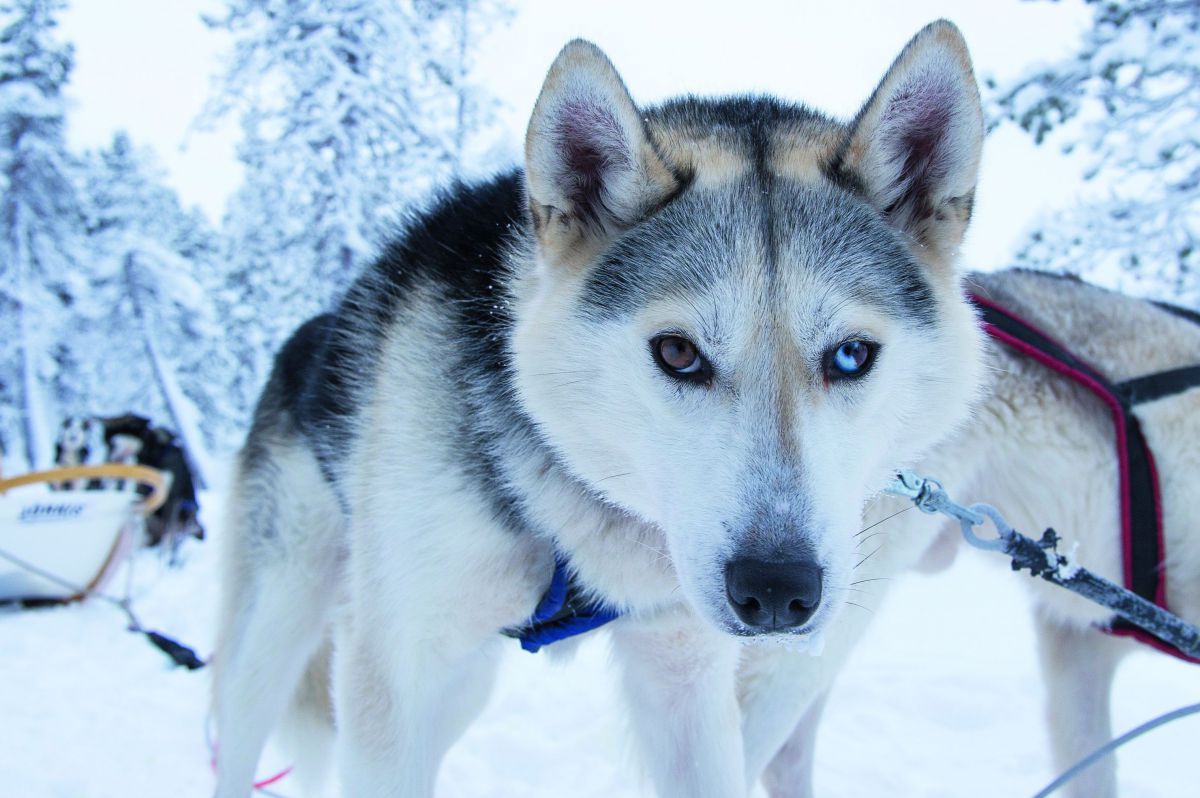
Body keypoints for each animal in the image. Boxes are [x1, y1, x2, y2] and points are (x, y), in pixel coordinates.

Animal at [213, 20, 984, 796]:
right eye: (677, 353)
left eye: (851, 356)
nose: (776, 589)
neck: (567, 509)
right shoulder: (400, 680)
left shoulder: (684, 675)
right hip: (277, 630)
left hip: (459, 682)